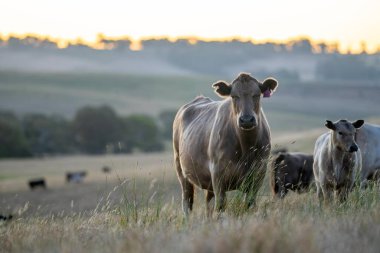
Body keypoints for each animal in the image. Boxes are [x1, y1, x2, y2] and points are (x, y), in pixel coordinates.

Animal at [174, 72, 278, 215]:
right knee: (187, 202)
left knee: (208, 204)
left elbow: (249, 204)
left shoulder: (258, 173)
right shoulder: (218, 174)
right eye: (234, 96)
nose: (246, 119)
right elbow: (221, 205)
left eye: (257, 94)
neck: (246, 147)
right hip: (182, 170)